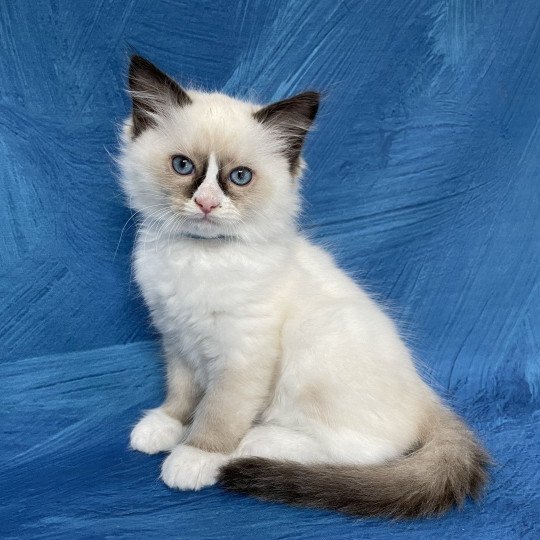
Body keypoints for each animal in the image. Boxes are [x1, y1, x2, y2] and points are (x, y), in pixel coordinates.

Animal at [122, 54, 490, 520]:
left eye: (239, 177)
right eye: (183, 166)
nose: (206, 204)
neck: (201, 257)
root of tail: (426, 397)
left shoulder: (243, 354)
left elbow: (219, 411)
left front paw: (196, 455)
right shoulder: (176, 338)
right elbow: (183, 392)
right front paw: (165, 425)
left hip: (315, 341)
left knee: (364, 450)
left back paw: (255, 443)